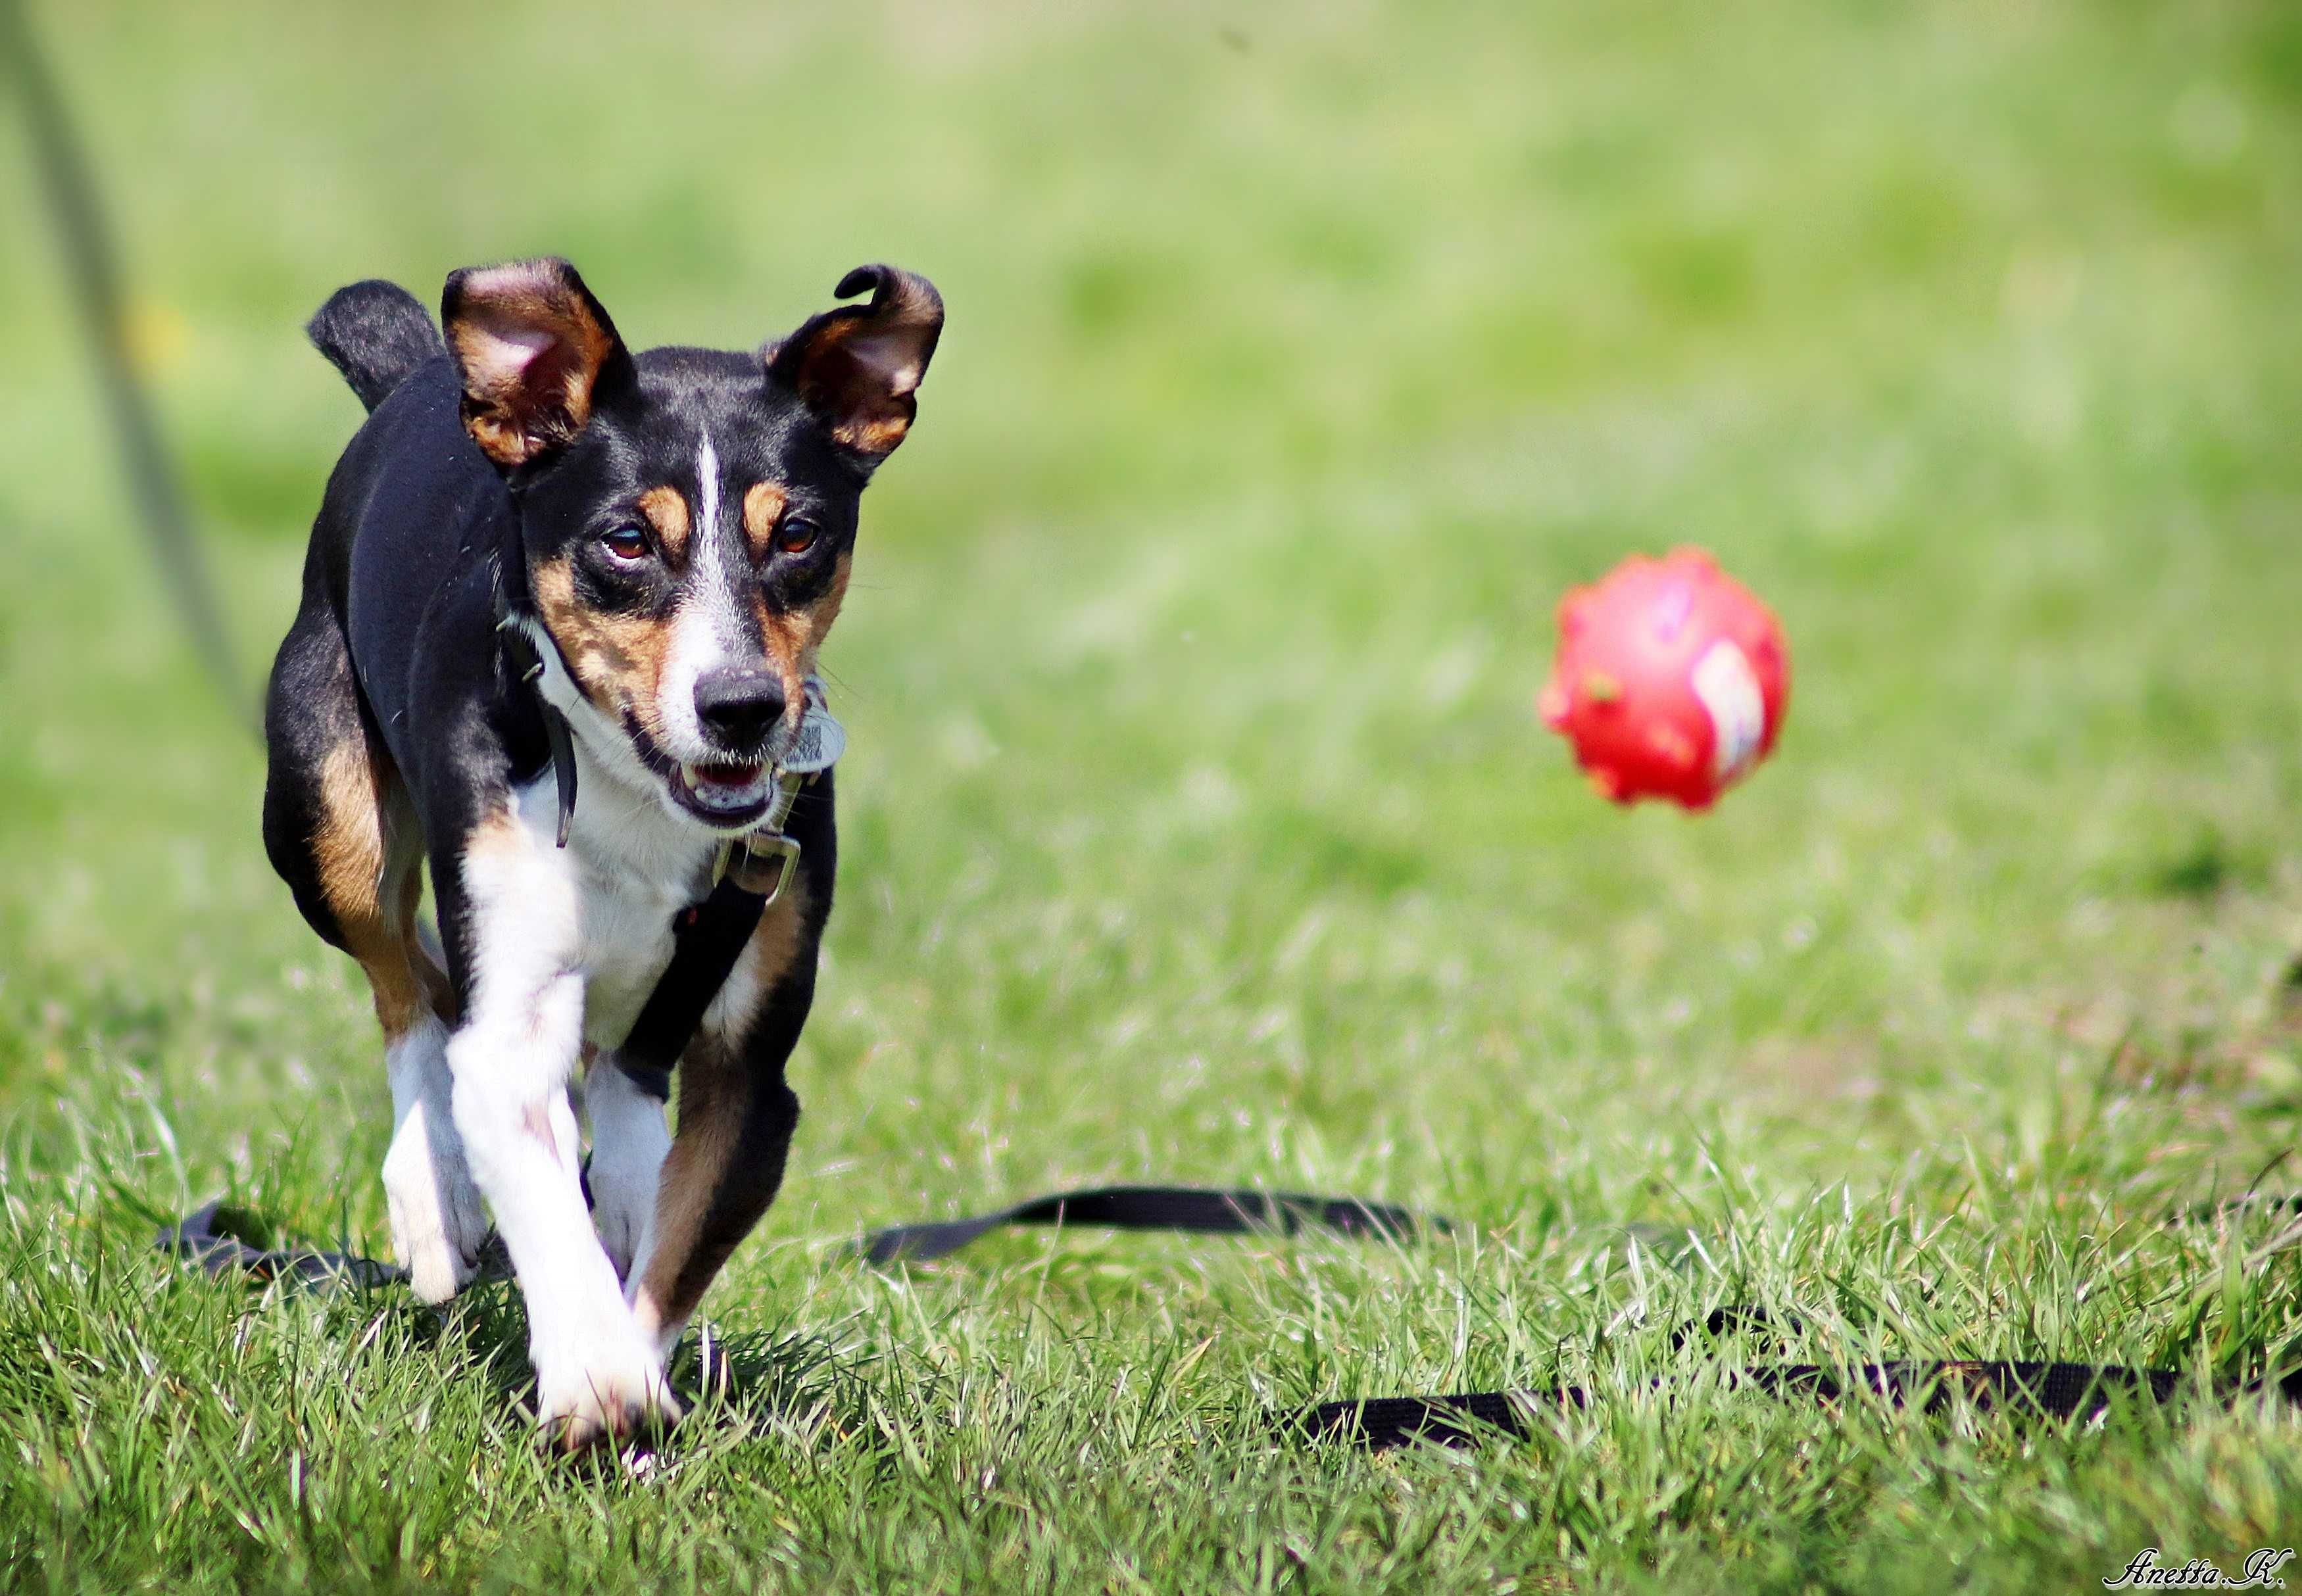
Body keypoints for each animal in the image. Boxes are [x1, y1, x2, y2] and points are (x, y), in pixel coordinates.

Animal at [254, 255, 935, 1446]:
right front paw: (592, 1372)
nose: (742, 707)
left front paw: (632, 1372)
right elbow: (528, 1166)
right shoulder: (513, 1000)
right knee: (406, 982)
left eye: (798, 534)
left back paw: (617, 1168)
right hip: (319, 815)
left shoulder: (753, 1072)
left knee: (614, 1071)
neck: (637, 790)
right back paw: (433, 1192)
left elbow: (676, 1254)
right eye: (627, 540)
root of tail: (419, 373)